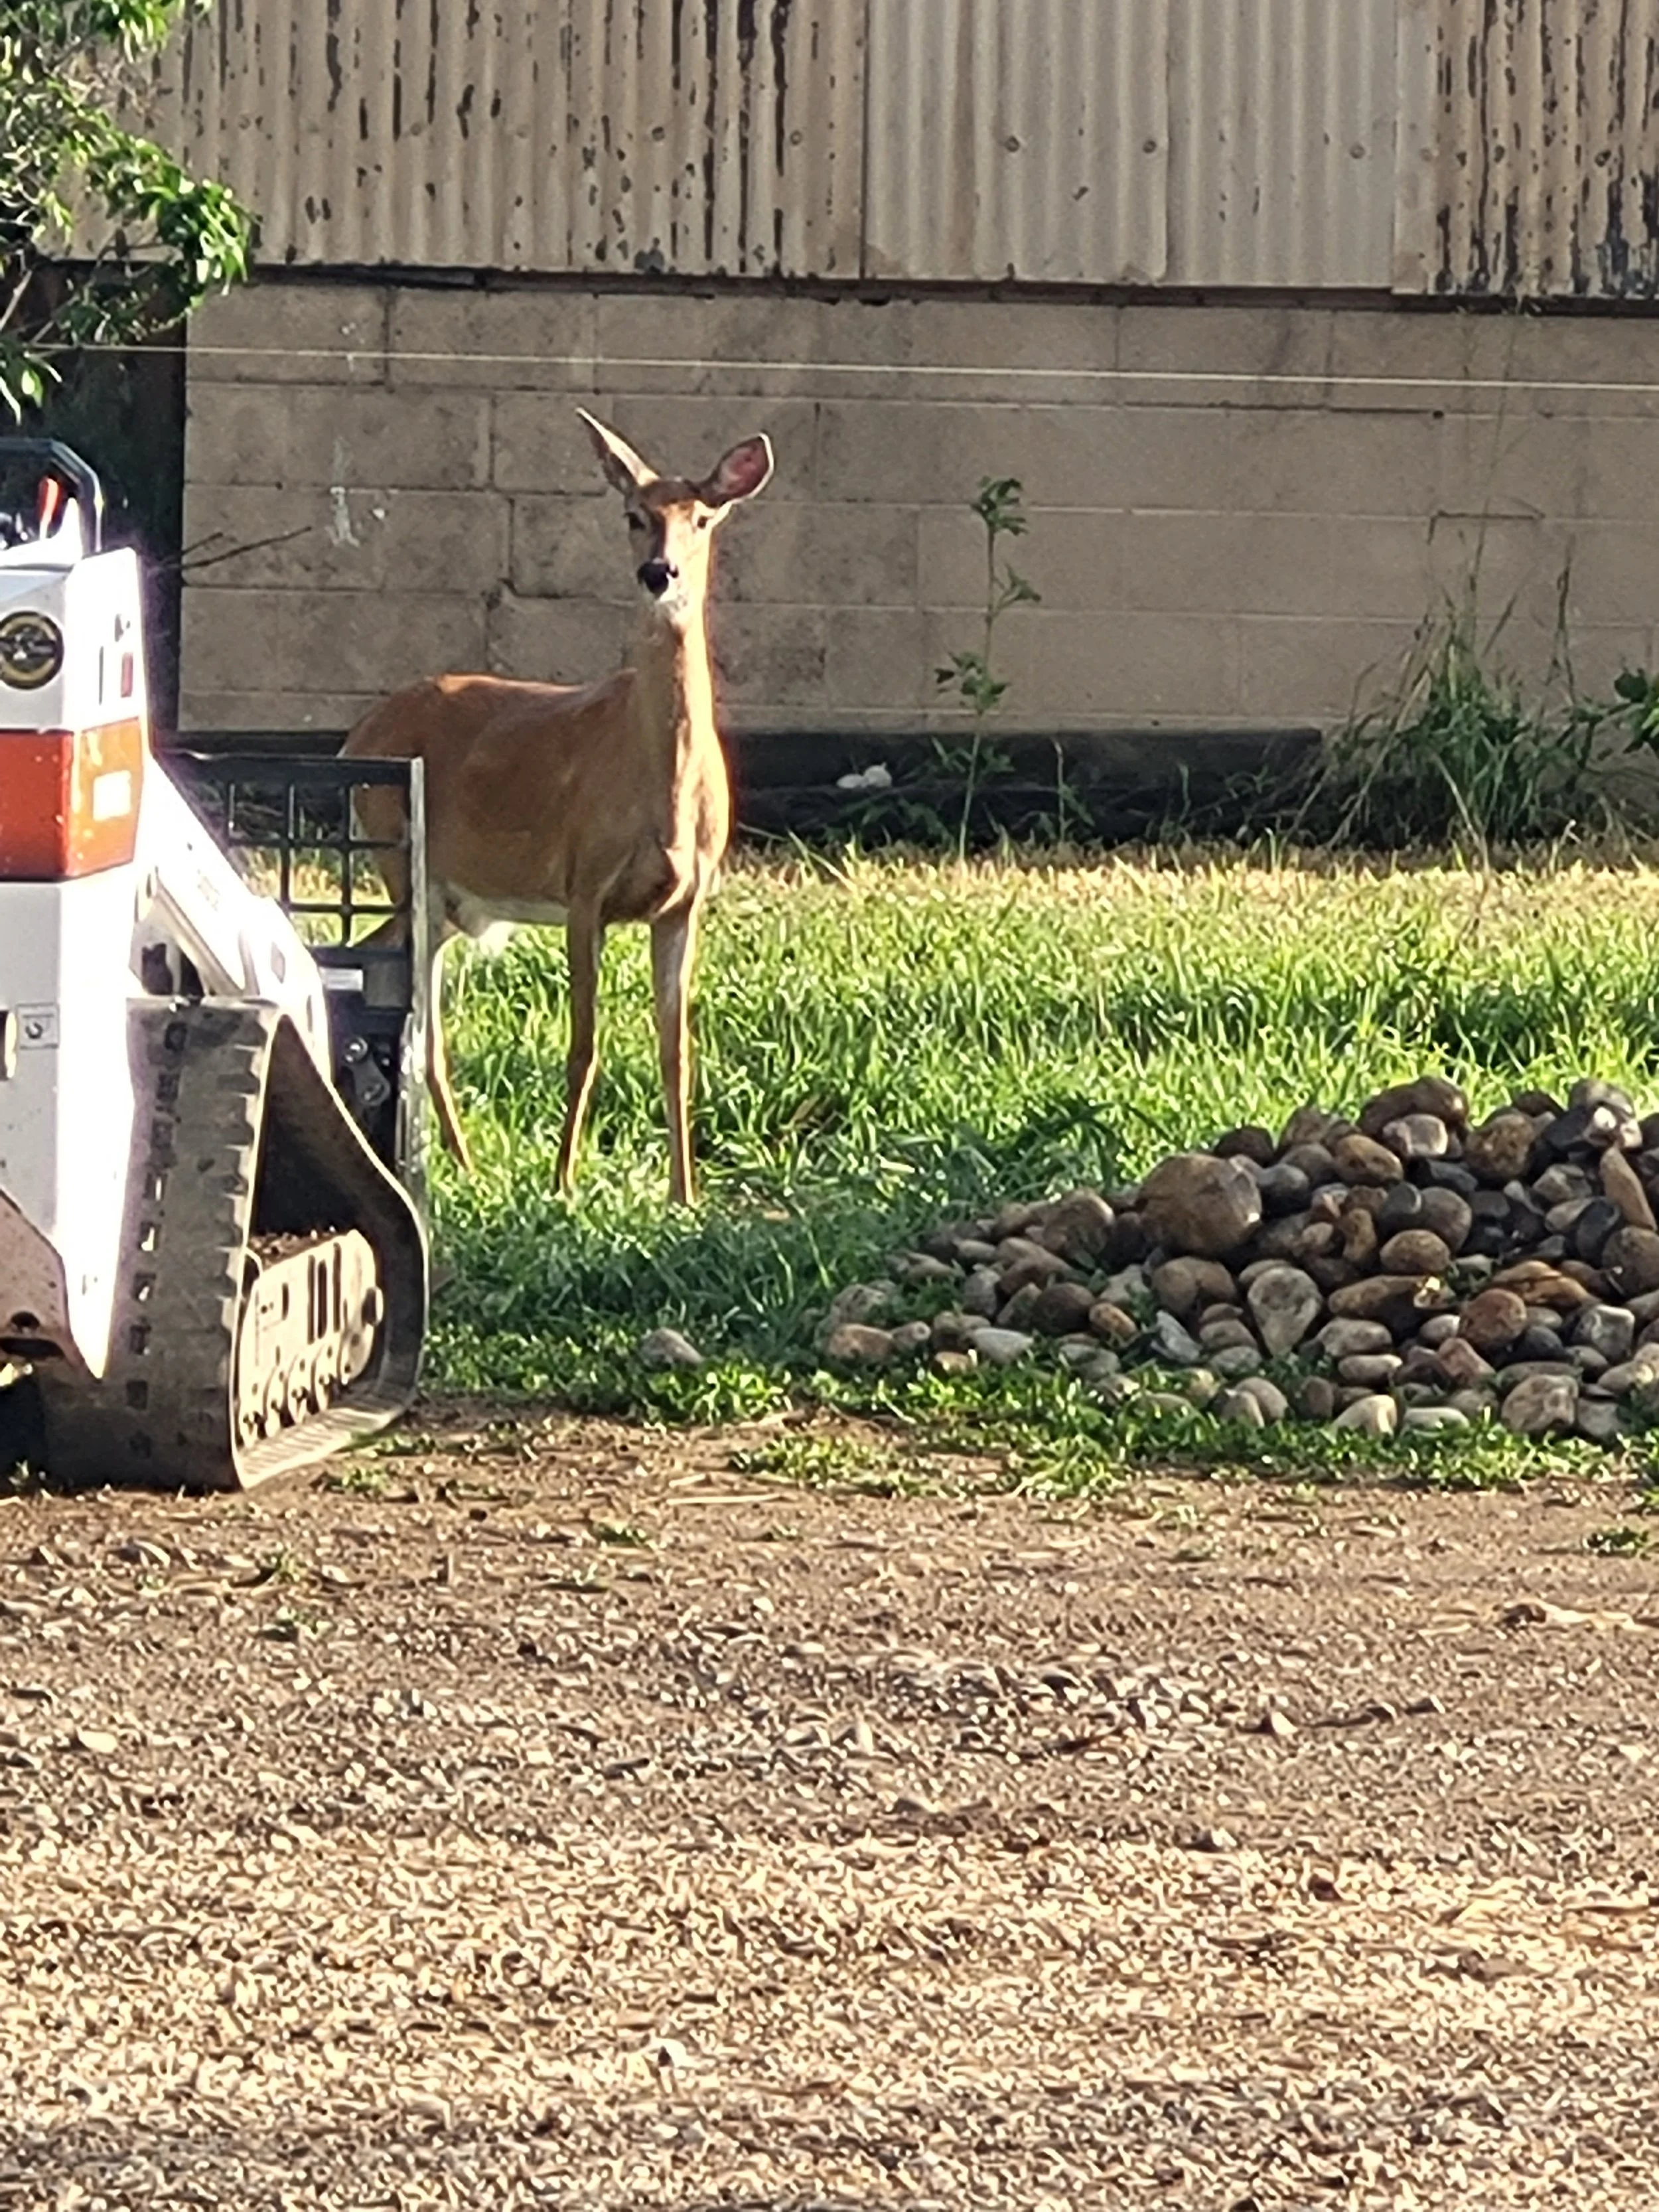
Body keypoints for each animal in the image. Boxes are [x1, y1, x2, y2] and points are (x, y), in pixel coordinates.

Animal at [341, 408, 773, 1205]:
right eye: (634, 515)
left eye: (700, 518)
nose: (658, 572)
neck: (662, 794)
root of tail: (359, 734)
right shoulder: (583, 886)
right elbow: (584, 1044)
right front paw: (563, 1181)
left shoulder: (684, 903)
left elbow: (676, 1051)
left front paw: (684, 1193)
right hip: (405, 860)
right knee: (422, 1018)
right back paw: (457, 1163)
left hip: (449, 901)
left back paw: (458, 1161)